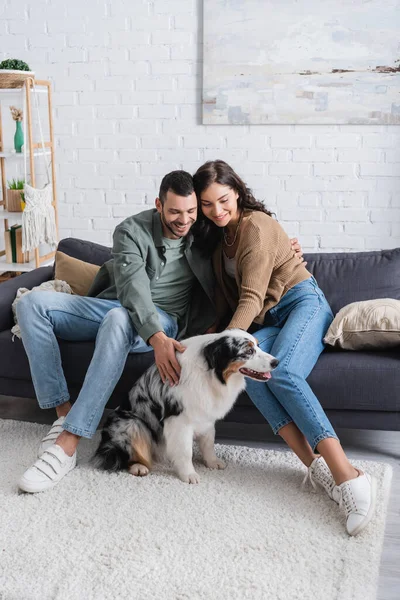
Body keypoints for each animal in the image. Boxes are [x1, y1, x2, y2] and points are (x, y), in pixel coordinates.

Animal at [93, 328, 278, 482]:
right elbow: (185, 451)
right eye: (248, 351)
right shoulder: (179, 421)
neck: (210, 373)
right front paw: (189, 475)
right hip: (132, 424)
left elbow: (208, 443)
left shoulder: (206, 416)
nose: (276, 362)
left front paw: (212, 462)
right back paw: (138, 466)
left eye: (258, 346)